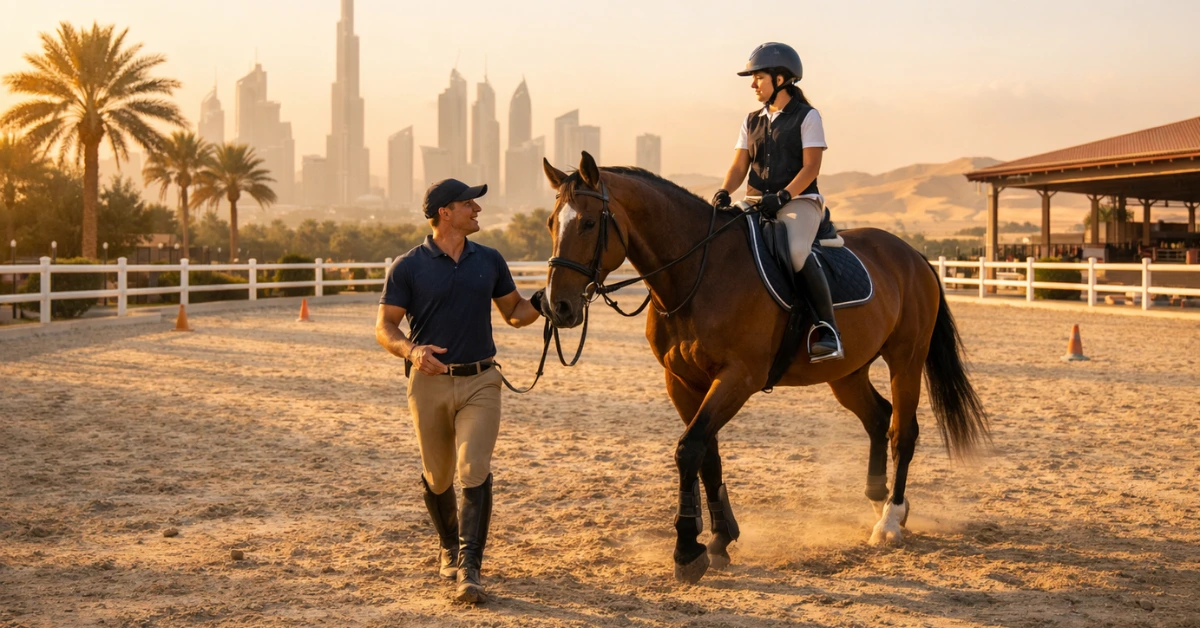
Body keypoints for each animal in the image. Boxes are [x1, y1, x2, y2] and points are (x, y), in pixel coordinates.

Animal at [540, 151, 990, 584]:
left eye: (588, 222)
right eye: (550, 223)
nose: (557, 307)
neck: (699, 272)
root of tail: (912, 255)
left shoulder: (737, 378)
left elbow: (689, 450)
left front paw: (688, 551)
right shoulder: (682, 382)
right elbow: (707, 454)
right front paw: (720, 539)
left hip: (906, 360)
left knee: (903, 431)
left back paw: (890, 520)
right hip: (847, 373)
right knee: (879, 417)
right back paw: (880, 498)